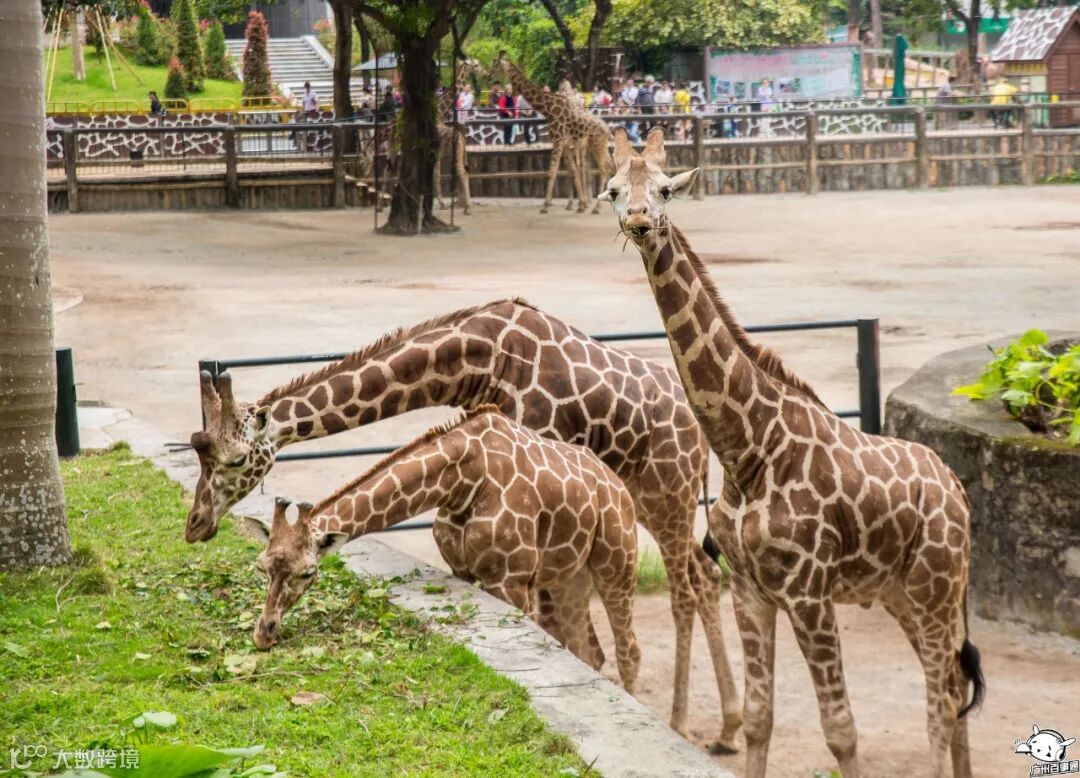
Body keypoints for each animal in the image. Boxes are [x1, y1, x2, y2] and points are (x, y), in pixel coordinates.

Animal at [243, 406, 642, 693]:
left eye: (308, 572)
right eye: (262, 566)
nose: (264, 633)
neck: (464, 481)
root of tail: (618, 484)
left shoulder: (512, 580)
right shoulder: (462, 570)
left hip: (617, 564)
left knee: (629, 651)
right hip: (568, 577)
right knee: (589, 650)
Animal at [488, 51, 613, 215]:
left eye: (496, 64)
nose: (489, 76)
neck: (548, 109)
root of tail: (607, 129)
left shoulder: (558, 140)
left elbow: (552, 172)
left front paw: (545, 206)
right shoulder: (564, 143)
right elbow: (571, 171)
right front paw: (579, 205)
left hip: (596, 145)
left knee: (604, 169)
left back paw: (597, 208)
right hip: (596, 146)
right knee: (609, 165)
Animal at [599, 126, 984, 778]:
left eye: (666, 189)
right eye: (613, 191)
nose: (640, 223)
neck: (747, 449)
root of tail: (955, 486)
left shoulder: (808, 591)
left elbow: (842, 729)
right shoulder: (751, 590)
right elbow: (760, 717)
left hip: (937, 585)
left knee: (940, 694)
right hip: (902, 593)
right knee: (954, 687)